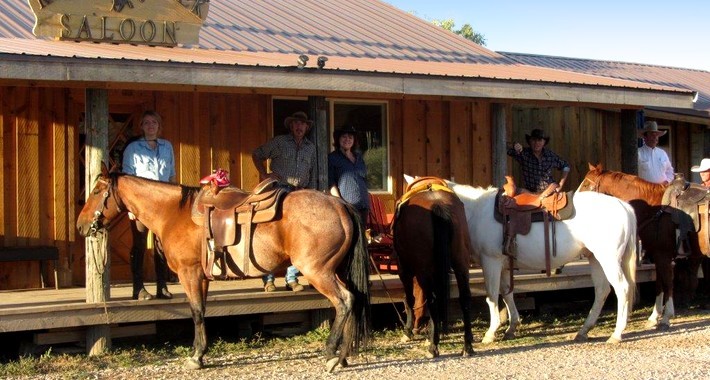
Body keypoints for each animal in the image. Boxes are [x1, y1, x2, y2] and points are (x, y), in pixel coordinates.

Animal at [76, 173, 372, 374]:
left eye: (96, 191)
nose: (81, 226)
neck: (174, 213)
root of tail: (339, 204)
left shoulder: (189, 274)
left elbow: (195, 312)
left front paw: (196, 356)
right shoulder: (203, 277)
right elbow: (202, 310)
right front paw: (202, 352)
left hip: (317, 271)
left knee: (344, 301)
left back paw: (331, 355)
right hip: (337, 270)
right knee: (354, 300)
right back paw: (344, 355)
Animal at [394, 175, 478, 360]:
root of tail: (437, 205)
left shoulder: (404, 268)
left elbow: (410, 298)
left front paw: (408, 331)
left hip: (423, 270)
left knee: (431, 299)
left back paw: (433, 346)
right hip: (461, 264)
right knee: (465, 298)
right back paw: (467, 345)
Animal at [448, 182, 644, 344]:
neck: (476, 211)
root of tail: (624, 206)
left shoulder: (491, 261)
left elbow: (492, 296)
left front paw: (490, 333)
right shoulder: (503, 266)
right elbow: (507, 294)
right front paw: (511, 328)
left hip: (608, 259)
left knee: (622, 289)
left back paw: (616, 334)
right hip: (595, 259)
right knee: (602, 290)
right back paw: (583, 331)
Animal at [580, 163, 708, 330]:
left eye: (586, 184)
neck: (654, 208)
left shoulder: (663, 255)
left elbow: (667, 282)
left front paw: (666, 317)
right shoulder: (658, 255)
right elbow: (659, 283)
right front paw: (654, 317)